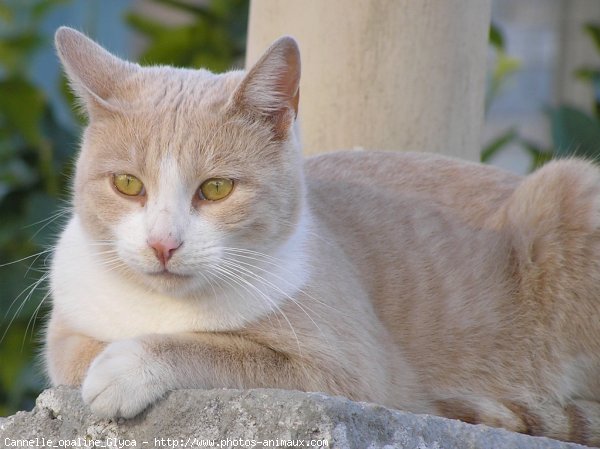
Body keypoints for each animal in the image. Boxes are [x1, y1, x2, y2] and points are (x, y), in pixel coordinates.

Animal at [44, 27, 600, 444]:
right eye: (127, 184)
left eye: (217, 188)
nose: (163, 244)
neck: (165, 307)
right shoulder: (65, 330)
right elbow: (73, 354)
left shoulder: (345, 376)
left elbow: (214, 350)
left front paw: (126, 366)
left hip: (569, 188)